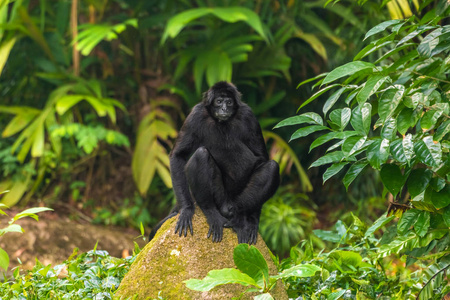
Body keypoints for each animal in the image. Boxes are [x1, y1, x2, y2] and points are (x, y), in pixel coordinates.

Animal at [149, 81, 280, 244]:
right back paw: (212, 212)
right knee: (201, 154)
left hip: (237, 198)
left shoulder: (248, 115)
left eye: (229, 102)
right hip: (220, 195)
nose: (224, 108)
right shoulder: (196, 114)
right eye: (219, 101)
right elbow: (179, 155)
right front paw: (186, 209)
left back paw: (239, 219)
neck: (222, 122)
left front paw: (253, 220)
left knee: (272, 167)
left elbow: (261, 158)